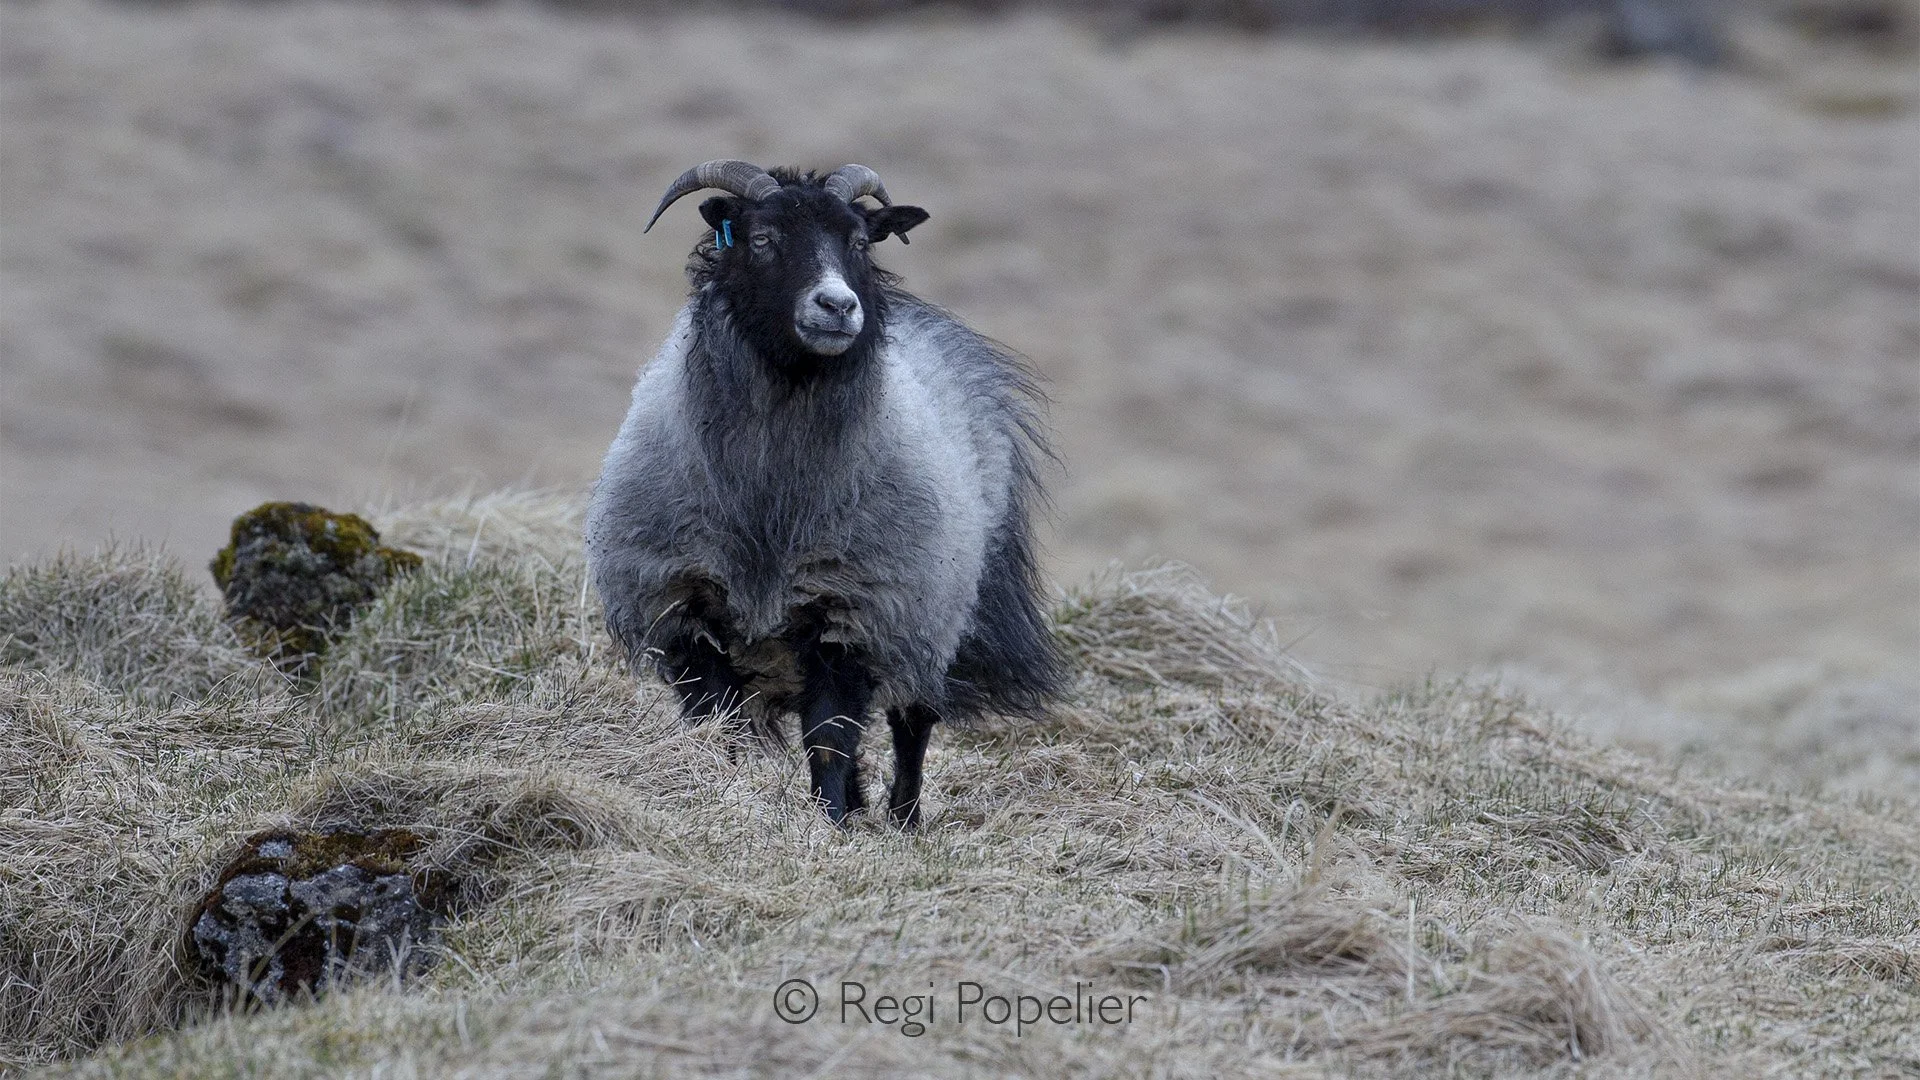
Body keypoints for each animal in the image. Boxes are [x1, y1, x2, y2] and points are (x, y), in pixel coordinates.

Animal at [585, 160, 1066, 827]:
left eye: (860, 242)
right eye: (762, 239)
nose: (838, 305)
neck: (771, 509)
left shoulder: (854, 613)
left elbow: (831, 737)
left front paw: (830, 824)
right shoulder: (685, 610)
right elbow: (719, 725)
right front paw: (724, 797)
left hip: (929, 613)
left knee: (912, 722)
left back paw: (902, 820)